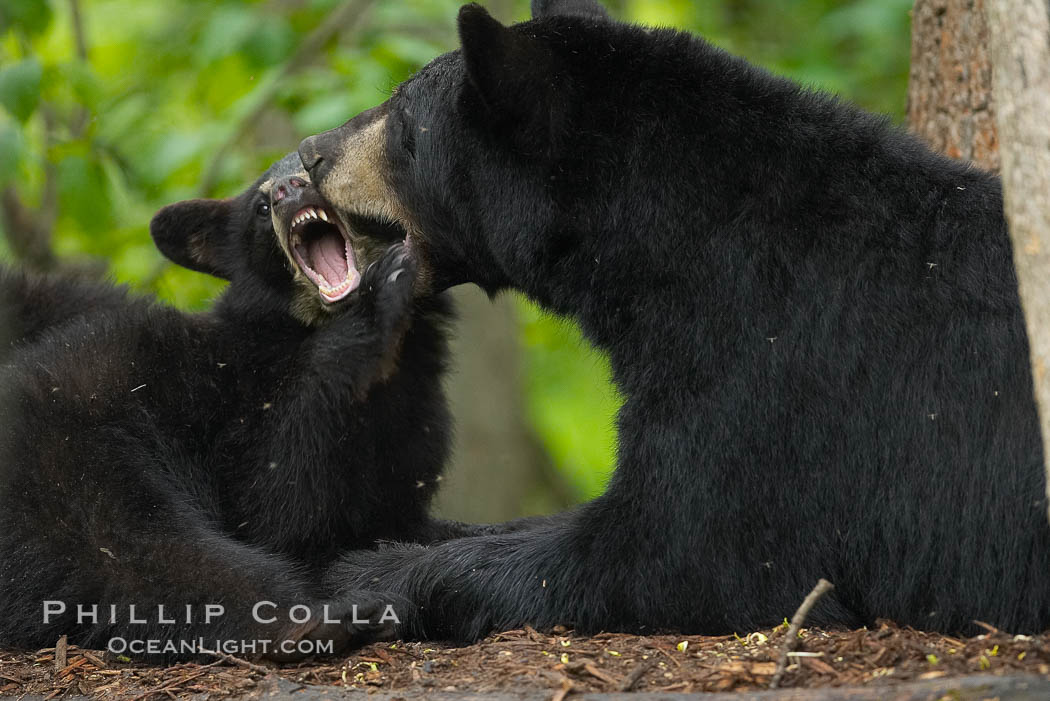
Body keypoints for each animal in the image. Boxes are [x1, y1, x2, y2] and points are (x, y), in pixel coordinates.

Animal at [0, 152, 480, 660]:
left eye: (314, 166)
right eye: (259, 205)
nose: (288, 190)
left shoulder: (415, 416)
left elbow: (385, 511)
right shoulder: (238, 398)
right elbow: (278, 496)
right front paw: (380, 290)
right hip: (68, 461)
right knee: (140, 551)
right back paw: (318, 622)